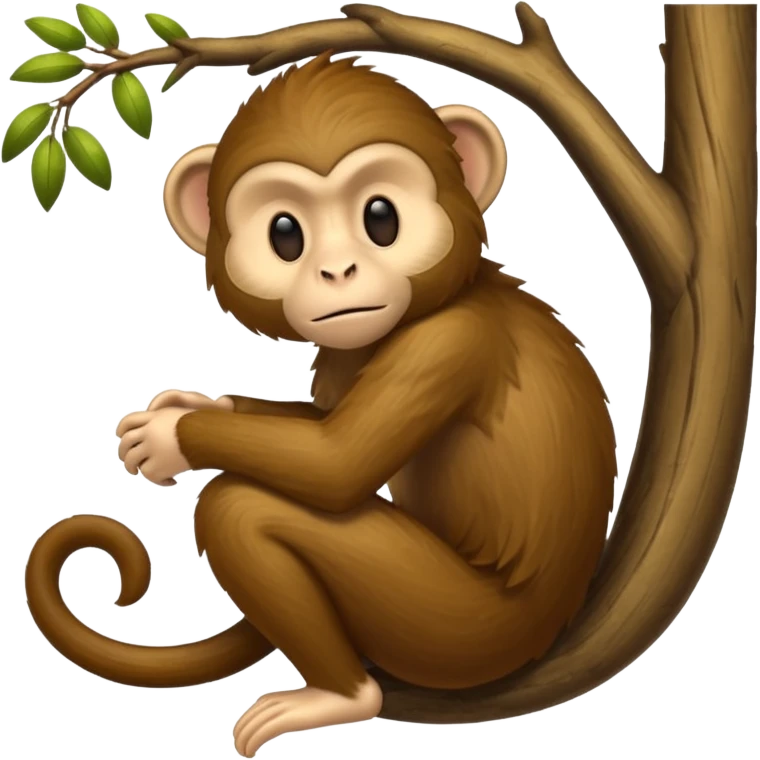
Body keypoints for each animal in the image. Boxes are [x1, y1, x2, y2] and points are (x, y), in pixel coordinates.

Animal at [24, 53, 618, 757]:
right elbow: (322, 427)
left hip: (453, 628)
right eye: (285, 234)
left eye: (381, 218)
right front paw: (186, 404)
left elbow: (336, 465)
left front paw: (171, 434)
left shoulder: (449, 343)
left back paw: (342, 695)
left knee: (243, 507)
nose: (338, 271)